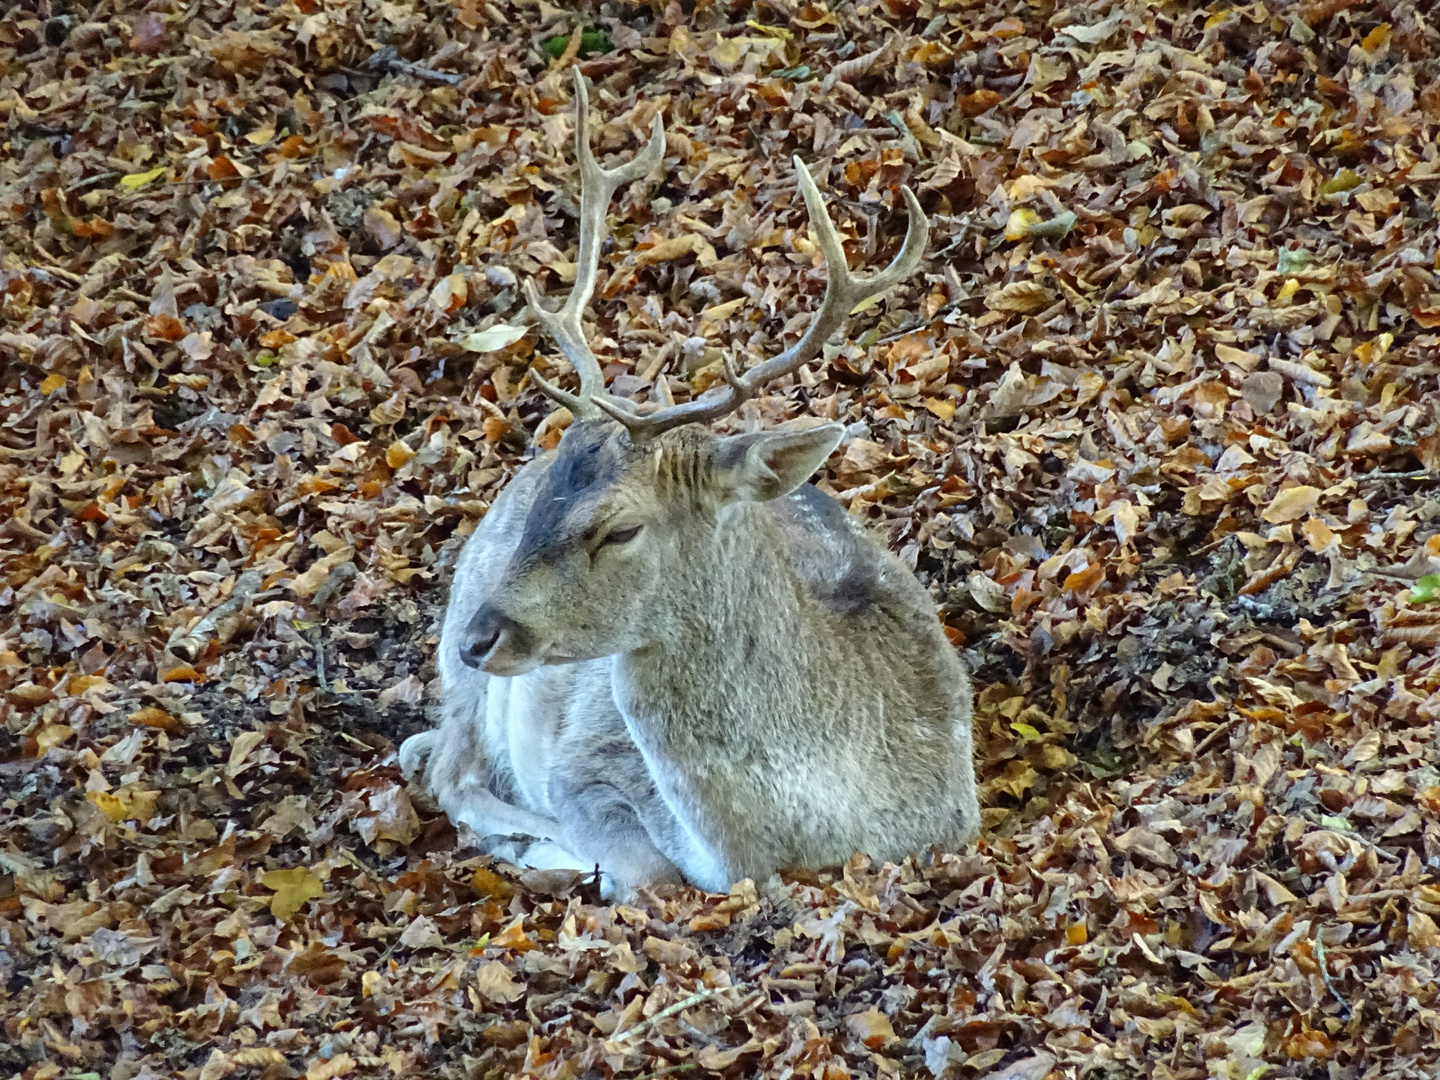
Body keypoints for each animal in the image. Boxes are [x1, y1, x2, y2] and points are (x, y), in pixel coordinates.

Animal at [397, 74, 979, 898]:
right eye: (545, 507)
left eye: (621, 528)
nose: (480, 636)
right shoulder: (582, 768)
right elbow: (649, 873)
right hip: (468, 674)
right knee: (444, 766)